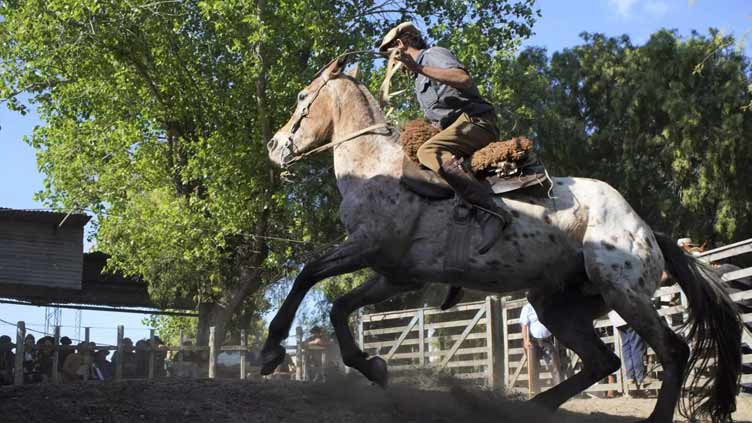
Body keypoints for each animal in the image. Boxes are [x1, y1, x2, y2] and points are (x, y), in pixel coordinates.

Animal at [258, 56, 740, 423]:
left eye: (302, 97)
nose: (274, 146)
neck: (376, 165)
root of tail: (646, 229)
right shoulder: (395, 274)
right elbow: (339, 307)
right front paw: (373, 367)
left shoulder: (366, 248)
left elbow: (307, 275)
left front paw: (270, 350)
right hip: (558, 304)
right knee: (603, 360)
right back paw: (531, 406)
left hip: (623, 292)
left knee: (673, 351)